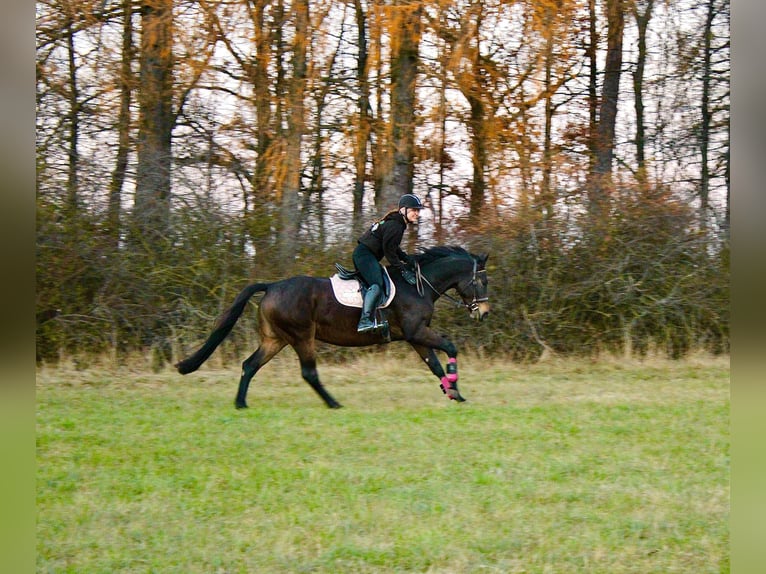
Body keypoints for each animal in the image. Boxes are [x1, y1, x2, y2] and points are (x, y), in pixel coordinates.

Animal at [175, 246, 492, 410]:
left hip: (275, 339)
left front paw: (453, 392)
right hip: (302, 336)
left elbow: (434, 364)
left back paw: (241, 403)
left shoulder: (415, 336)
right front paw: (454, 387)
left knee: (249, 365)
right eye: (482, 281)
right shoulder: (416, 332)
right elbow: (450, 347)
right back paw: (333, 403)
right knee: (308, 372)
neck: (417, 285)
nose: (485, 313)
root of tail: (272, 285)